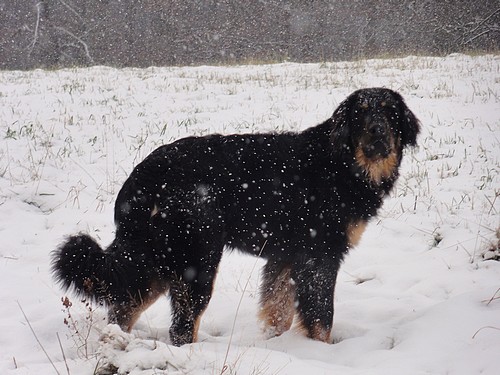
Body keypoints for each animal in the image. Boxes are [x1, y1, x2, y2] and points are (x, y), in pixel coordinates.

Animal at [51, 88, 418, 346]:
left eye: (390, 113)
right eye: (360, 113)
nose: (377, 131)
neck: (342, 162)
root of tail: (141, 177)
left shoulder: (285, 256)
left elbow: (278, 311)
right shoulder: (320, 256)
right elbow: (321, 317)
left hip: (153, 261)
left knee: (123, 309)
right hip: (195, 262)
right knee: (181, 329)